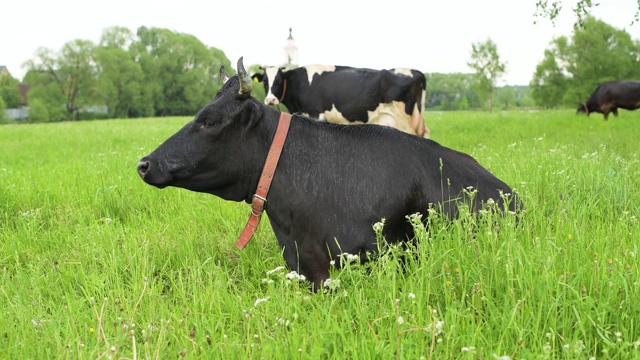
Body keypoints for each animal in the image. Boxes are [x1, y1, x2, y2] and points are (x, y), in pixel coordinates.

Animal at [250, 63, 430, 138]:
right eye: (265, 81)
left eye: (279, 80)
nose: (270, 99)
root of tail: (417, 72)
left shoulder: (315, 113)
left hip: (406, 123)